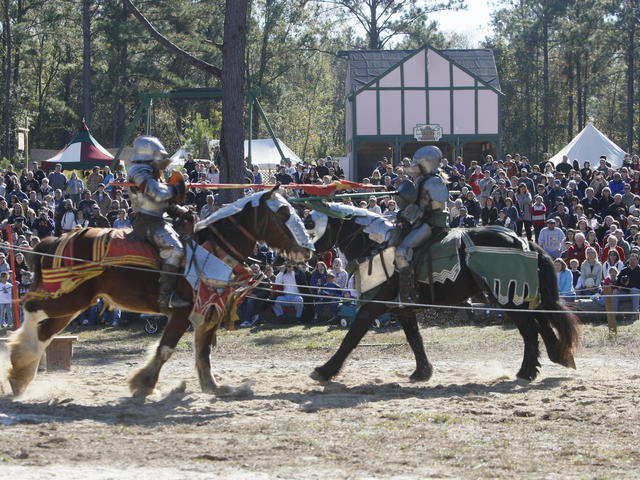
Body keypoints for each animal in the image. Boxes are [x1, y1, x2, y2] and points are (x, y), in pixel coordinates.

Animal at [4, 188, 316, 398]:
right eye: (283, 214)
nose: (308, 249)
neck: (212, 249)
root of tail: (55, 240)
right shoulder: (183, 311)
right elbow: (166, 349)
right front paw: (144, 383)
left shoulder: (206, 311)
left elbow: (203, 352)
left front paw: (213, 387)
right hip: (70, 298)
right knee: (33, 312)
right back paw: (20, 363)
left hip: (74, 302)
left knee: (45, 331)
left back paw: (21, 374)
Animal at [304, 208, 580, 384]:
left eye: (310, 224)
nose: (304, 256)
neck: (376, 247)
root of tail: (523, 241)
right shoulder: (403, 310)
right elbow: (415, 340)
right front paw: (422, 372)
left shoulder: (372, 307)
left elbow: (351, 338)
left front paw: (325, 370)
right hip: (518, 297)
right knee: (542, 324)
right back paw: (557, 357)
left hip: (508, 297)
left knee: (531, 330)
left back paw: (527, 371)